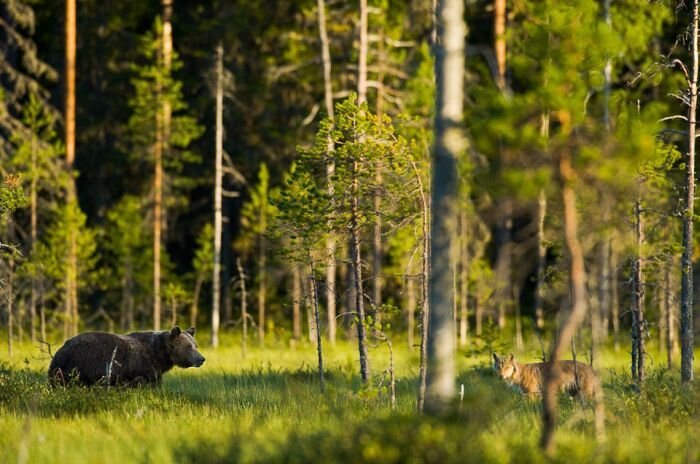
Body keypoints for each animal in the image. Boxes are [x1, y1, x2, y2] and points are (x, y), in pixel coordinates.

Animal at [47, 324, 202, 386]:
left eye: (196, 345)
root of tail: (60, 350)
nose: (202, 358)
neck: (160, 354)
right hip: (80, 364)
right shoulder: (144, 366)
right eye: (188, 347)